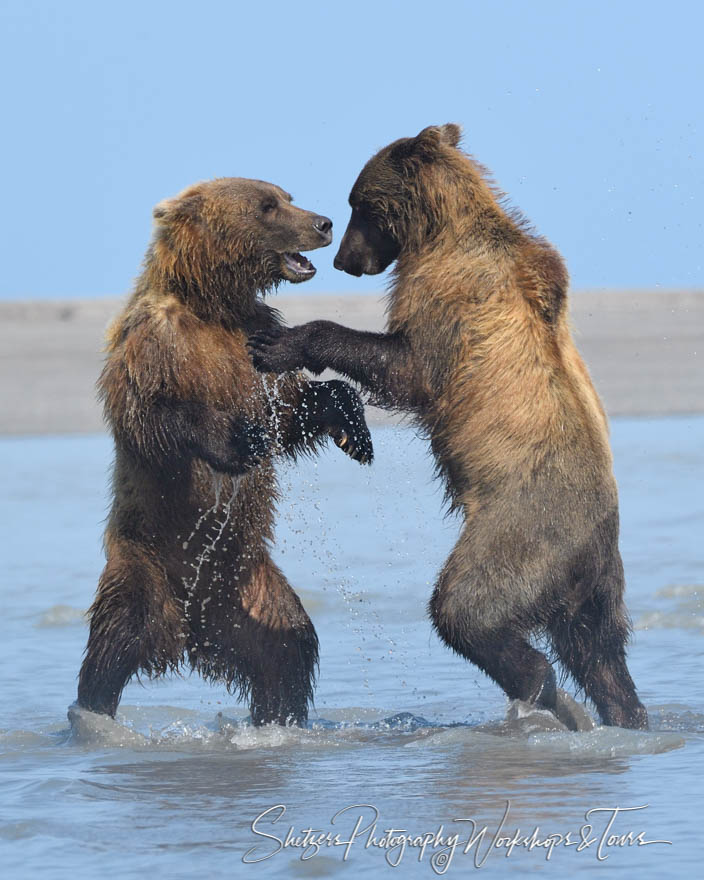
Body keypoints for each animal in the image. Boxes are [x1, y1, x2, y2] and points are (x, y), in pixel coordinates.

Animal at [75, 175, 374, 724]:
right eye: (267, 205)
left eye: (287, 196)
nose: (323, 222)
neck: (212, 303)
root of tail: (190, 629)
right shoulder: (153, 344)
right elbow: (151, 417)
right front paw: (240, 440)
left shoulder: (255, 341)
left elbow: (294, 409)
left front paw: (354, 433)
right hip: (143, 564)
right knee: (114, 642)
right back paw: (91, 714)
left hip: (251, 591)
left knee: (288, 649)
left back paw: (278, 717)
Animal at [252, 124, 648, 728]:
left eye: (358, 205)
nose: (344, 260)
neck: (440, 230)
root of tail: (594, 544)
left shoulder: (450, 297)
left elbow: (408, 367)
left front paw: (279, 342)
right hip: (595, 583)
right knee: (599, 652)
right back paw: (623, 714)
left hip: (524, 528)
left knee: (467, 605)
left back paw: (537, 684)